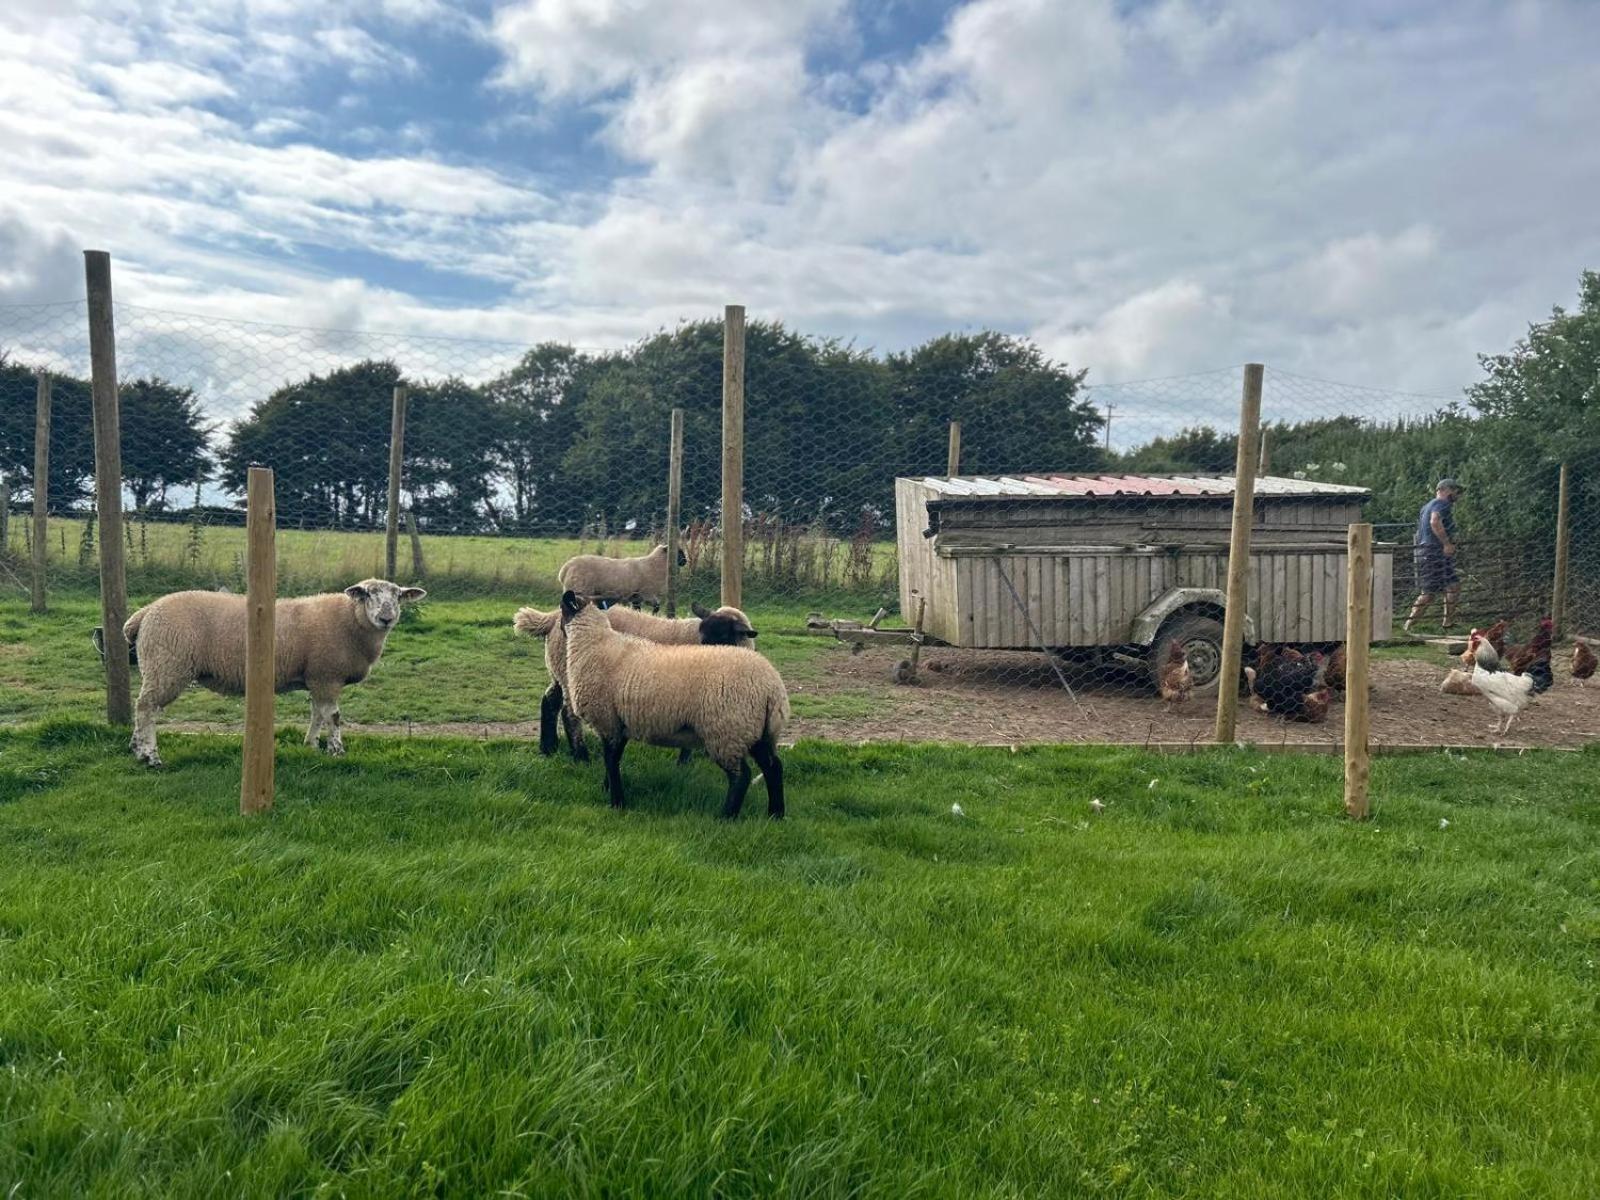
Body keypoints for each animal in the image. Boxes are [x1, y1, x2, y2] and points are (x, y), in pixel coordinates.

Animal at [119, 582, 425, 771]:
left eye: (398, 596)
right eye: (369, 594)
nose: (386, 618)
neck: (351, 622)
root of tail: (145, 613)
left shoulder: (316, 678)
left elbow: (317, 714)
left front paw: (311, 746)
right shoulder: (327, 676)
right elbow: (333, 716)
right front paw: (336, 751)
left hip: (159, 667)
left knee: (143, 706)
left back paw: (136, 748)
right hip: (167, 665)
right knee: (146, 707)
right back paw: (150, 756)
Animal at [515, 598, 758, 761]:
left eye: (722, 635)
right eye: (704, 634)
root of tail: (552, 617)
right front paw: (685, 761)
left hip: (558, 668)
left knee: (549, 701)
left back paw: (548, 748)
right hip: (572, 672)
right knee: (569, 713)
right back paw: (581, 756)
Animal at [553, 547, 684, 620]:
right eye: (679, 551)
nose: (685, 561)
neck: (654, 565)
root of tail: (564, 569)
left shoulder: (636, 597)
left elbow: (637, 611)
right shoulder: (647, 594)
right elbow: (657, 607)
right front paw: (653, 616)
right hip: (579, 591)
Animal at [556, 595, 793, 825]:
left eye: (562, 612)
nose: (560, 631)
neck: (594, 645)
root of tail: (773, 689)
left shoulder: (607, 721)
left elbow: (611, 761)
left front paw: (617, 802)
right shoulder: (620, 723)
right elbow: (615, 759)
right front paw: (608, 788)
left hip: (727, 731)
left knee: (741, 776)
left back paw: (726, 818)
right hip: (756, 731)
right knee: (773, 767)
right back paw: (776, 815)